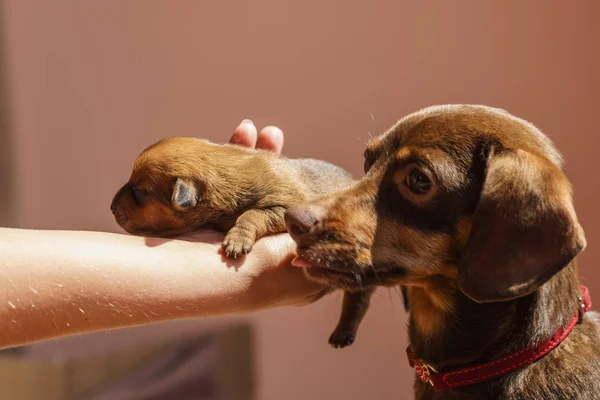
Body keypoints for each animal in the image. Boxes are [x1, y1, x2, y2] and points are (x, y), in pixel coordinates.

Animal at [109, 137, 372, 346]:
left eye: (138, 192)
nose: (111, 207)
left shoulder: (285, 206)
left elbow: (252, 214)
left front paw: (237, 239)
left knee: (358, 299)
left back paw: (344, 332)